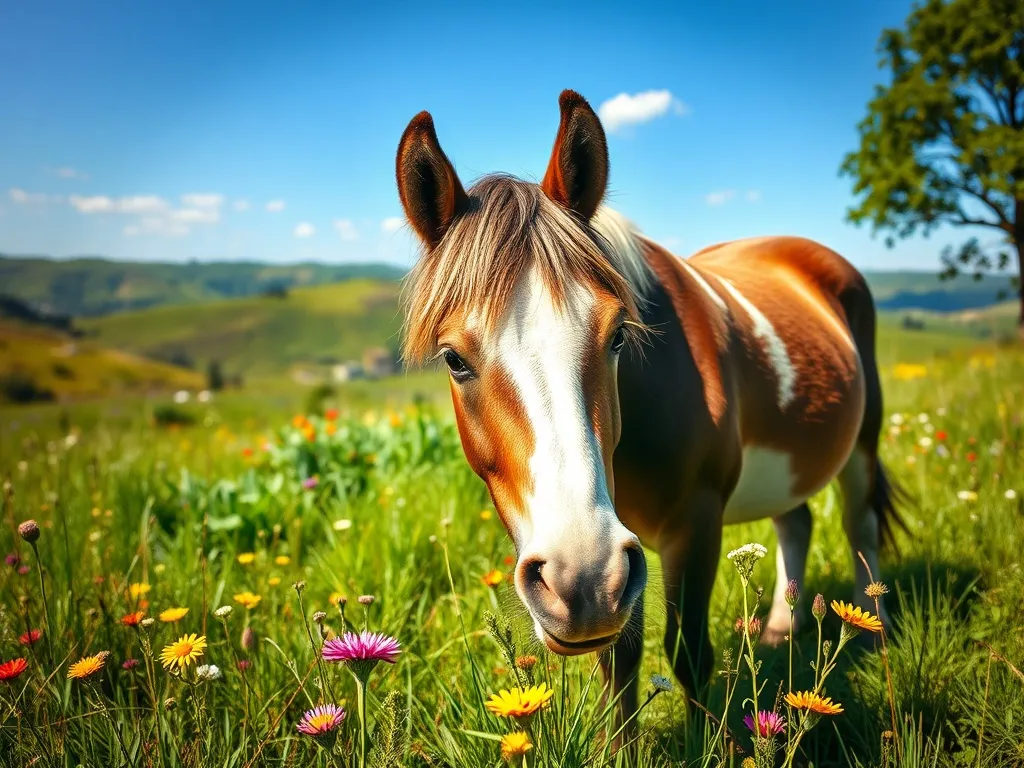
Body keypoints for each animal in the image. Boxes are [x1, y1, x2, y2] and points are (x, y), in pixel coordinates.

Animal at [394, 89, 904, 734]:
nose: (578, 580)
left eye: (617, 336)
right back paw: (779, 632)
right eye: (454, 358)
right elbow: (620, 663)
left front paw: (712, 743)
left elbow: (688, 653)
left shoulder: (695, 524)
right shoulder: (622, 555)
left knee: (859, 527)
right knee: (797, 520)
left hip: (863, 443)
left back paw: (873, 636)